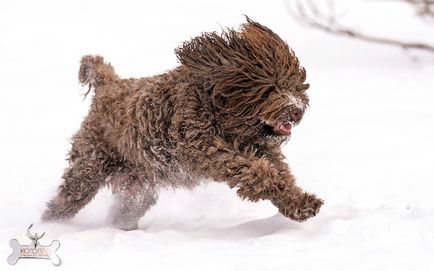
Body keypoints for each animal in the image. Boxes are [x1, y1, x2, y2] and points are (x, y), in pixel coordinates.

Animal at [42, 17, 324, 231]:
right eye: (270, 88)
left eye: (294, 85)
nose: (297, 111)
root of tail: (109, 85)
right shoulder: (207, 148)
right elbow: (257, 172)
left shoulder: (264, 148)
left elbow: (282, 176)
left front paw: (300, 204)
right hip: (89, 168)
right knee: (65, 200)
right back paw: (51, 225)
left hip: (139, 185)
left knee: (125, 209)